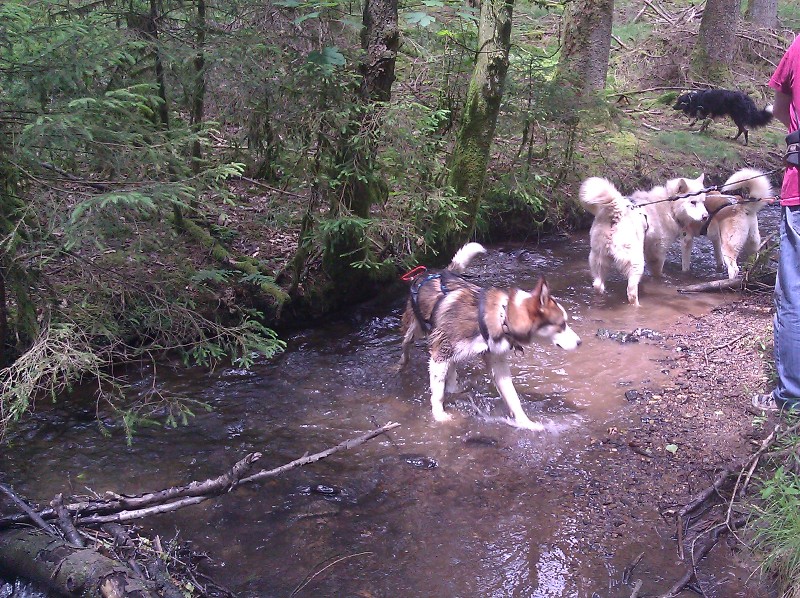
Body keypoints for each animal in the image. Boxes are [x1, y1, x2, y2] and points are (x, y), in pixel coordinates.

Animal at [398, 244, 580, 432]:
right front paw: (439, 416)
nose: (579, 342)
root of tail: (436, 271)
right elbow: (438, 393)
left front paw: (526, 423)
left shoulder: (497, 362)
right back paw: (401, 365)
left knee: (452, 371)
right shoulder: (439, 355)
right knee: (406, 347)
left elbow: (513, 398)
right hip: (414, 330)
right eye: (562, 324)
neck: (502, 318)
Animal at [580, 172, 708, 304]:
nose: (706, 216)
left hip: (599, 259)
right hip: (635, 261)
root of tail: (617, 212)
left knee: (598, 285)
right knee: (631, 292)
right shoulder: (657, 252)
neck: (669, 206)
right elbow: (657, 273)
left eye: (703, 201)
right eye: (693, 202)